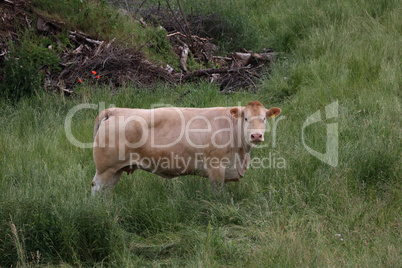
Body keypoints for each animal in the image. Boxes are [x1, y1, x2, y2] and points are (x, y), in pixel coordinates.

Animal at [91, 101, 282, 195]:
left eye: (264, 119)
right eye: (246, 118)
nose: (256, 136)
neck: (241, 155)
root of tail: (114, 110)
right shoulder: (216, 167)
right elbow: (218, 194)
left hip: (116, 170)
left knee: (105, 190)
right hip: (106, 168)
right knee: (97, 188)